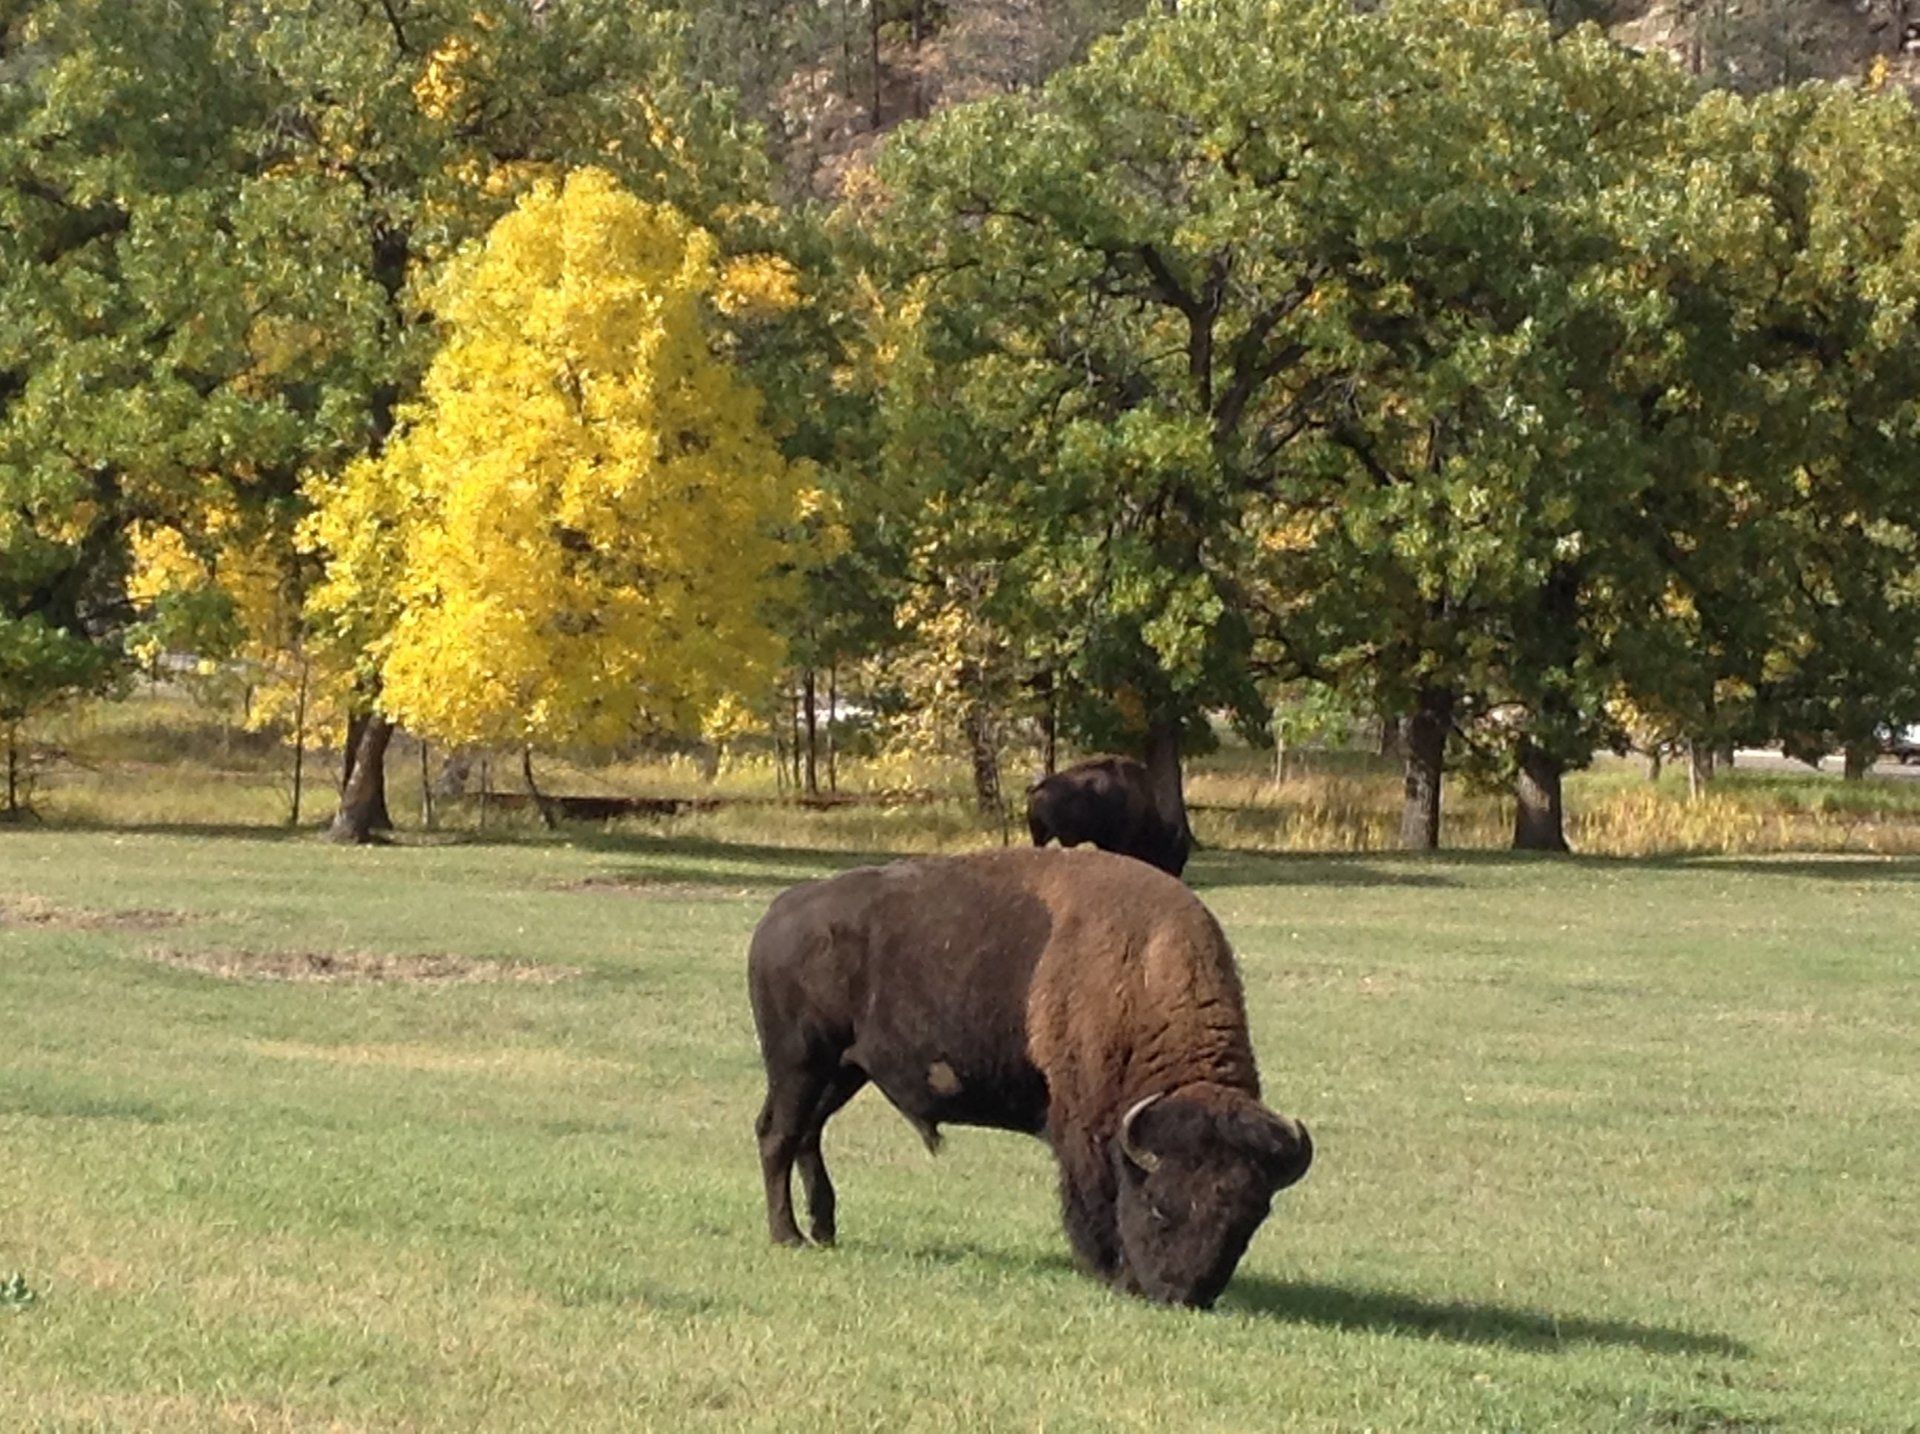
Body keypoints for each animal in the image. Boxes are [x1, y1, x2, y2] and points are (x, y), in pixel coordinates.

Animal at [748, 847, 1312, 1307]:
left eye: (1249, 1220)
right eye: (1159, 1206)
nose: (1182, 1297)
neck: (1143, 973)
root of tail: (778, 913)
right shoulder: (1082, 1129)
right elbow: (1091, 1196)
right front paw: (1107, 1271)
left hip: (842, 1072)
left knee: (807, 1134)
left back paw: (824, 1230)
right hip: (799, 1064)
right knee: (778, 1135)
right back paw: (787, 1236)